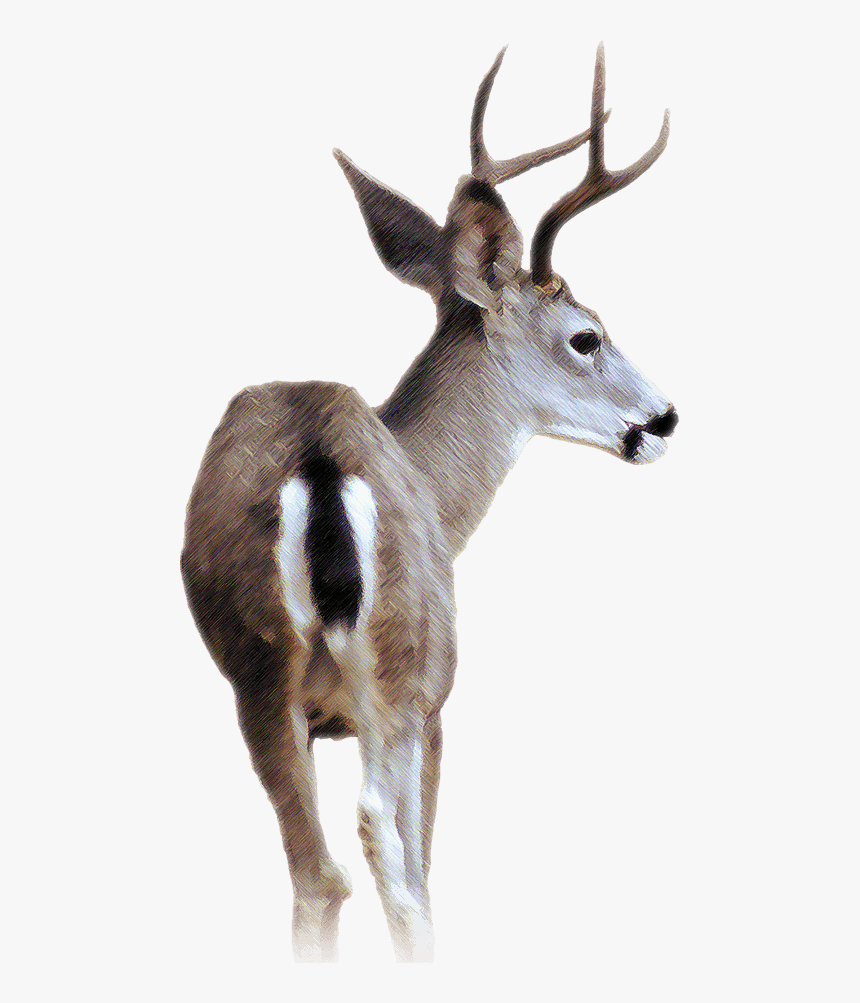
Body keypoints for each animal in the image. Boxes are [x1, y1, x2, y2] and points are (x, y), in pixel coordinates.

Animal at [181, 44, 678, 964]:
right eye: (586, 335)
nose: (664, 418)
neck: (434, 485)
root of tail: (322, 455)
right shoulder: (438, 704)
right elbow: (418, 867)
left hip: (256, 671)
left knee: (316, 873)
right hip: (404, 673)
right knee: (387, 861)